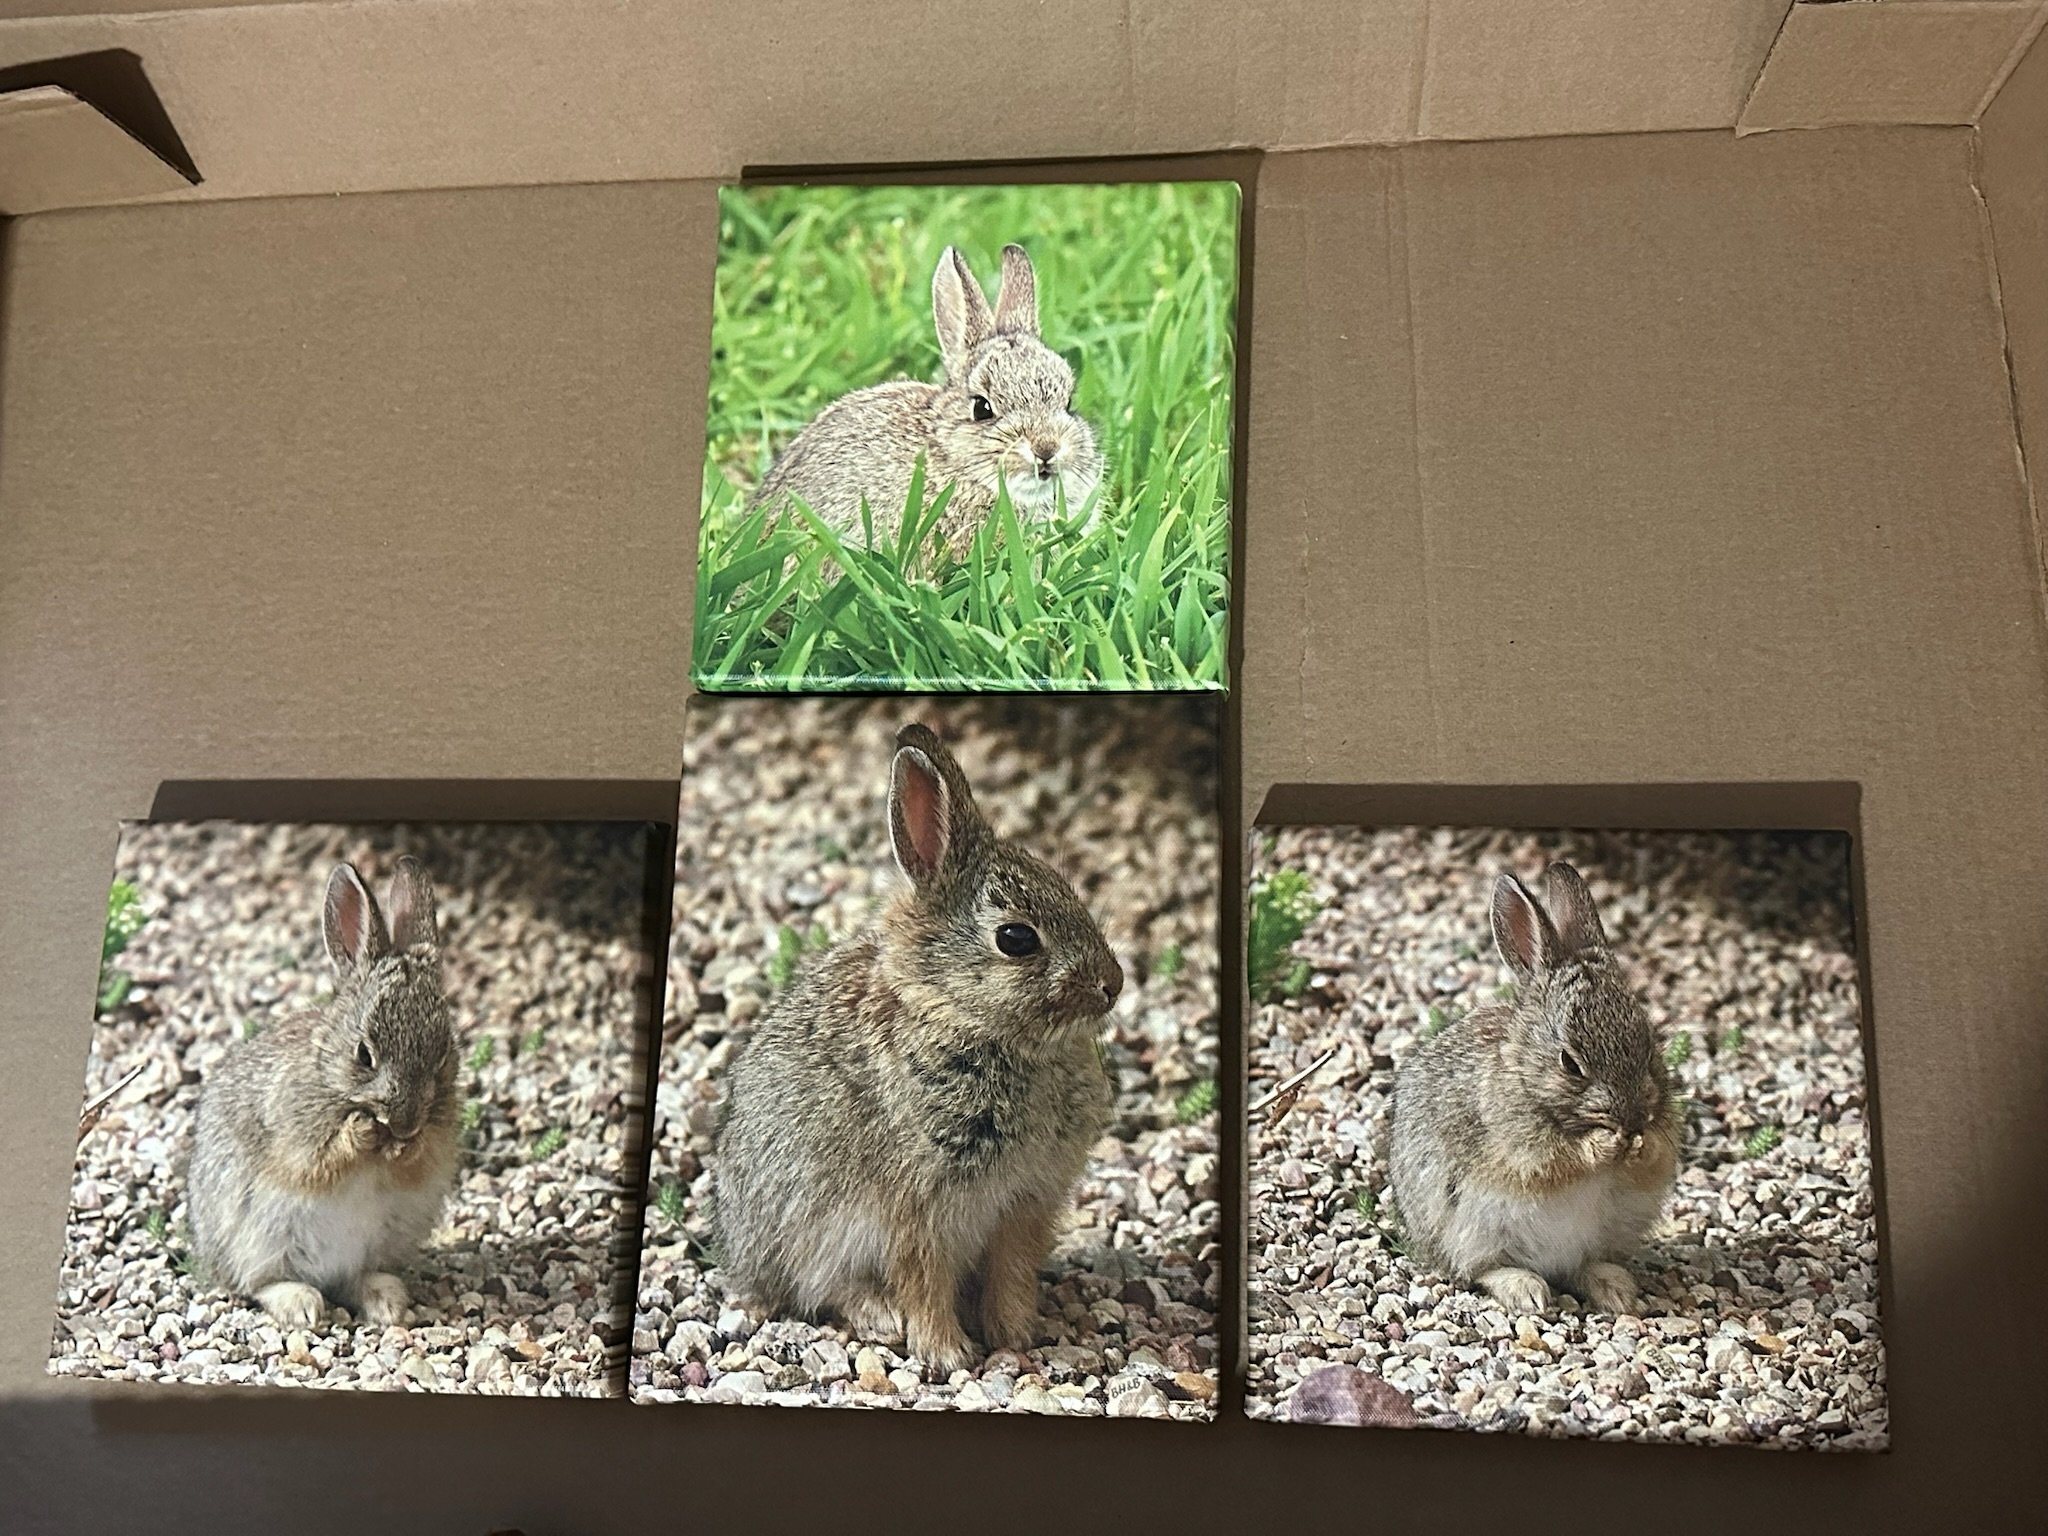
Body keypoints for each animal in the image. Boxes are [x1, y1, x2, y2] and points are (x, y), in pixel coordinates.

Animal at [187, 856, 460, 1329]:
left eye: (443, 1053)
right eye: (364, 1054)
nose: (405, 1123)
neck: (330, 1075)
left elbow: (416, 1164)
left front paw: (404, 1148)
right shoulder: (294, 1138)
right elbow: (318, 1161)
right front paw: (362, 1133)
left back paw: (387, 1301)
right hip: (254, 1238)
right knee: (260, 1283)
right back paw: (302, 1305)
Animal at [712, 722, 1125, 1373]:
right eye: (1016, 938)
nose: (1114, 983)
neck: (965, 1019)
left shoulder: (1025, 1202)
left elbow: (1012, 1273)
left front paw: (1017, 1335)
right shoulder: (916, 1207)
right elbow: (923, 1280)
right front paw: (947, 1353)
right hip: (807, 1229)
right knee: (820, 1286)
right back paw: (881, 1319)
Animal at [1388, 862, 1681, 1316]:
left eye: (1649, 1044)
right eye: (1569, 1063)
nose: (1632, 1118)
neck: (1525, 1073)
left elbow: (1655, 1160)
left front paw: (1640, 1145)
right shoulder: (1515, 1145)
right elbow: (1551, 1160)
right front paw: (1605, 1145)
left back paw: (1615, 1290)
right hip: (1467, 1231)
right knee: (1482, 1269)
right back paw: (1527, 1291)